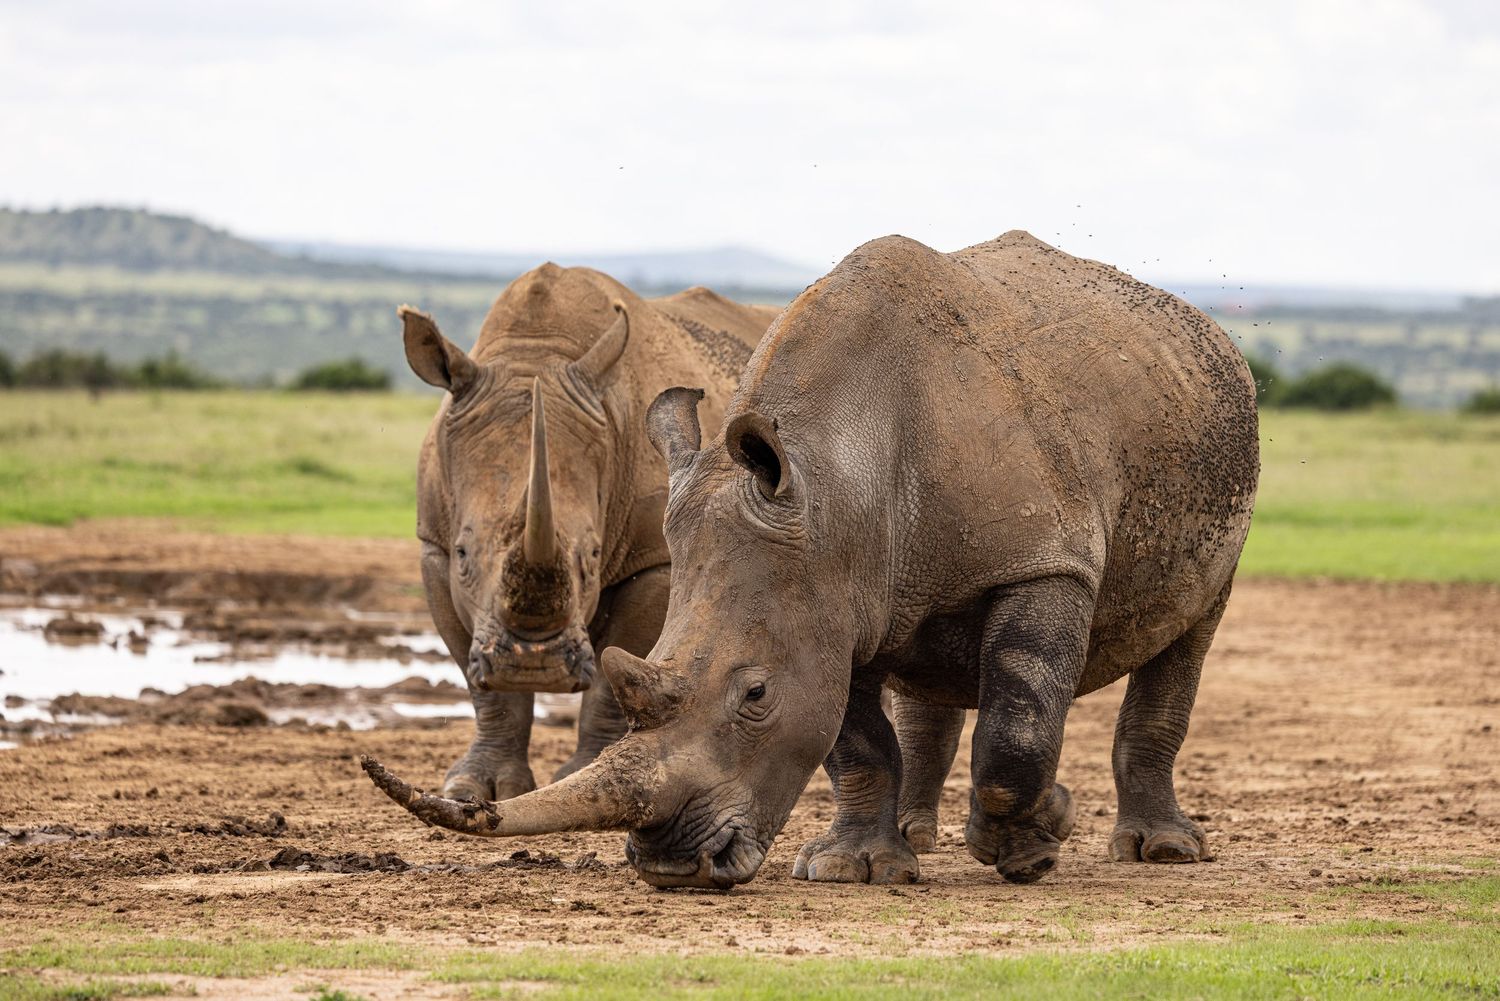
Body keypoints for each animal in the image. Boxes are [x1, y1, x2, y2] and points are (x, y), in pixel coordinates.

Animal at [399, 264, 775, 800]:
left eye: (594, 557)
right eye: (464, 553)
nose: (533, 664)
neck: (537, 350)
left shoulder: (653, 555)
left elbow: (612, 676)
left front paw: (580, 775)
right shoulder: (433, 544)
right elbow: (483, 690)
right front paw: (476, 790)